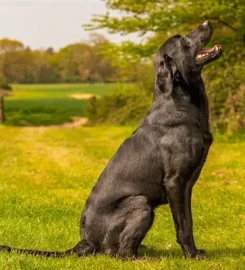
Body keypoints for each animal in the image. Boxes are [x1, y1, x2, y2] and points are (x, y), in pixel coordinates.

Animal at [0, 21, 222, 260]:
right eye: (181, 39)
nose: (207, 22)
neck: (180, 104)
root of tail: (86, 241)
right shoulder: (176, 181)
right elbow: (184, 225)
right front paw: (192, 254)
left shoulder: (186, 184)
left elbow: (188, 220)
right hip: (140, 202)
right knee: (122, 253)